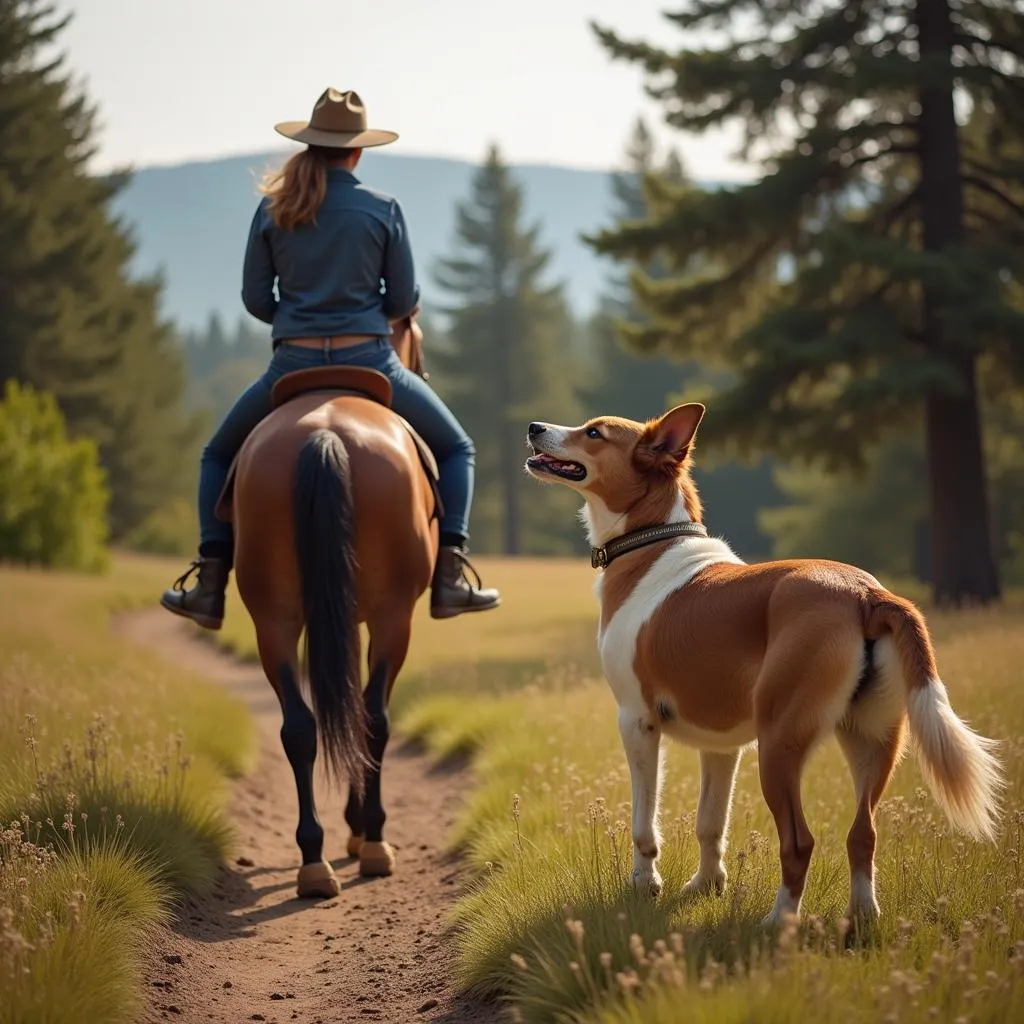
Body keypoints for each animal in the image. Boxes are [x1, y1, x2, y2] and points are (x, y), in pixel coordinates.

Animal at [220, 317, 436, 897]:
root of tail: (326, 433)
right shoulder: (373, 619)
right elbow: (363, 709)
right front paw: (360, 829)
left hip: (273, 620)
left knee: (299, 727)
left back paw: (313, 860)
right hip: (393, 618)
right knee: (374, 719)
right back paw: (374, 844)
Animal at [524, 401, 1003, 929]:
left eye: (594, 433)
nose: (534, 427)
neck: (652, 542)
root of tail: (866, 593)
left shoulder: (637, 722)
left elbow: (643, 825)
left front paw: (645, 884)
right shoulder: (720, 746)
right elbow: (710, 823)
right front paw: (706, 885)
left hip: (779, 744)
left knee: (800, 842)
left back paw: (778, 923)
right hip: (873, 741)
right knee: (863, 834)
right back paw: (861, 918)